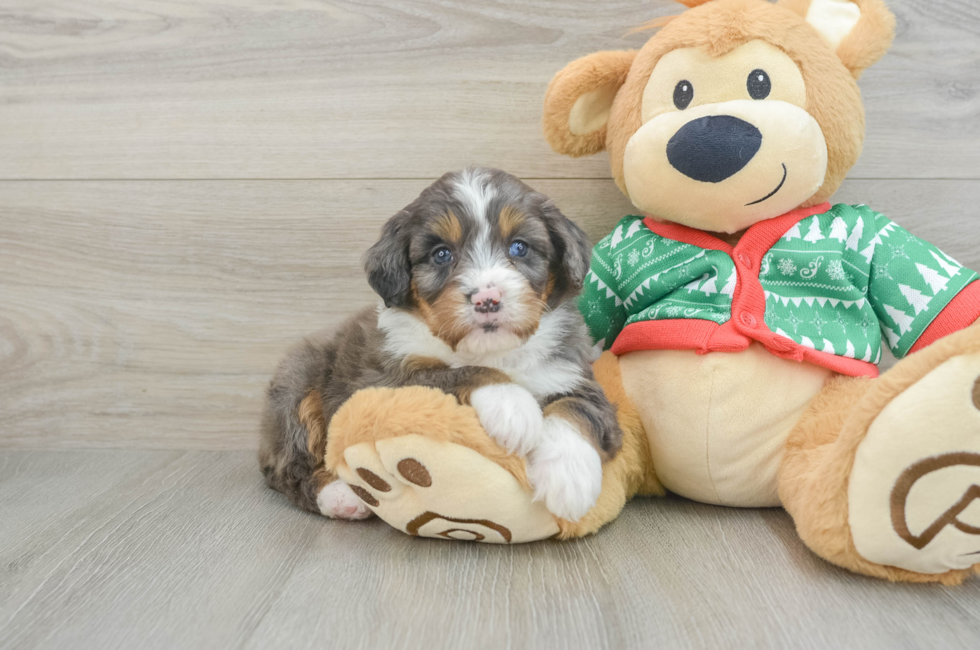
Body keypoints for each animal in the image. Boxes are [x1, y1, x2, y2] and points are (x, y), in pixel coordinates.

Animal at [260, 168, 620, 520]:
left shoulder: (570, 372)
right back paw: (339, 496)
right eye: (441, 254)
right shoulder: (385, 381)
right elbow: (459, 372)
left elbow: (578, 409)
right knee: (286, 469)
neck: (492, 351)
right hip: (297, 386)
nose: (487, 299)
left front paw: (570, 478)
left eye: (519, 247)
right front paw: (512, 406)